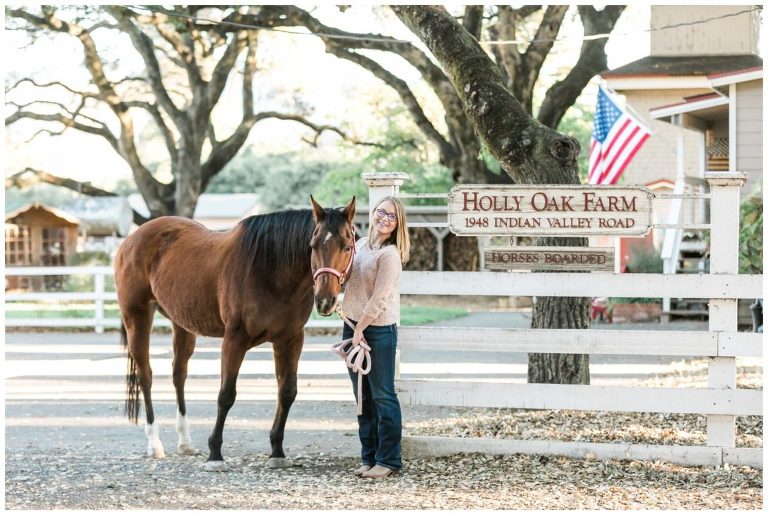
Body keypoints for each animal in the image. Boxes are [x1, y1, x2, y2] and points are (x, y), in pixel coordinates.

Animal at [115, 197, 356, 472]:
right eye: (313, 246)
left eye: (347, 246)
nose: (325, 300)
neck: (270, 271)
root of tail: (132, 239)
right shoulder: (234, 340)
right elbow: (226, 395)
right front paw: (215, 454)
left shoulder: (290, 340)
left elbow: (287, 392)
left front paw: (277, 451)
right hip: (137, 317)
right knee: (145, 376)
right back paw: (154, 443)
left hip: (182, 324)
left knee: (179, 375)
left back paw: (185, 442)